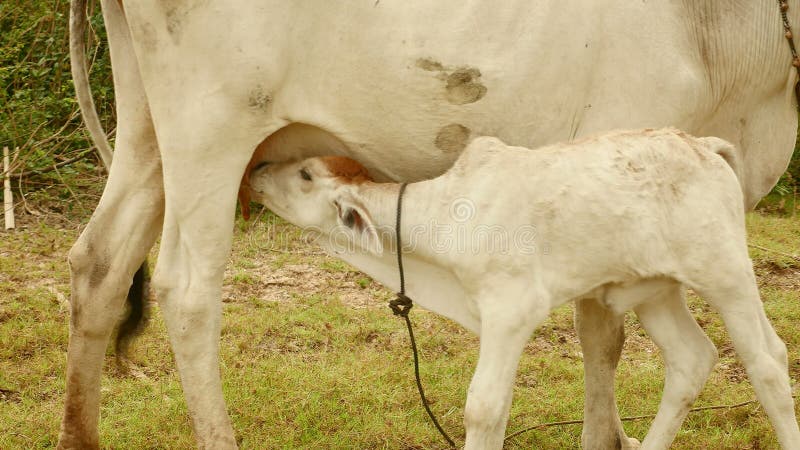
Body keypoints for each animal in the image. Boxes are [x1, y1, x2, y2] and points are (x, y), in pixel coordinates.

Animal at [244, 127, 800, 450]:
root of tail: (703, 145)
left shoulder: (510, 311)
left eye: (305, 173)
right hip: (656, 290)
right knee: (691, 358)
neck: (446, 215)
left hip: (726, 272)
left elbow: (483, 408)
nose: (258, 170)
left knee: (768, 361)